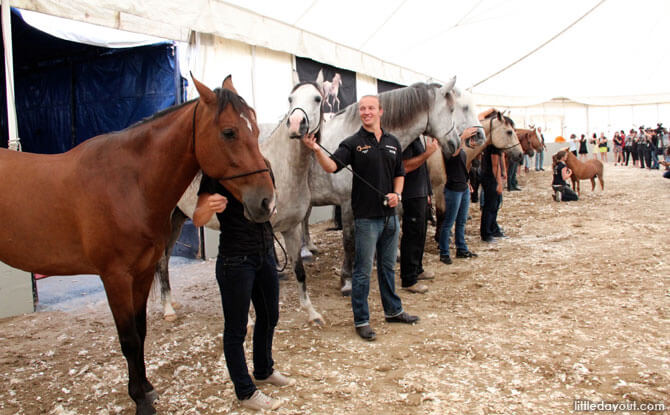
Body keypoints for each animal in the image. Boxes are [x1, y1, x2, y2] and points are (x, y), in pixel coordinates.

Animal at [0, 75, 276, 415]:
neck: (129, 184)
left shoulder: (142, 272)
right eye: (229, 132)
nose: (266, 202)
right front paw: (140, 400)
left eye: (256, 128)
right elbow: (129, 338)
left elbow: (141, 330)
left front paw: (146, 388)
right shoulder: (115, 277)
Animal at [156, 70, 328, 324]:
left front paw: (312, 313)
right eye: (290, 99)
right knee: (161, 260)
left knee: (166, 258)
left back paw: (170, 302)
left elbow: (299, 270)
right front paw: (247, 320)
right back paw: (168, 309)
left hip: (178, 220)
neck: (284, 168)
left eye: (317, 98)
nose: (296, 124)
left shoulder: (292, 228)